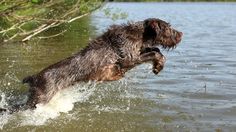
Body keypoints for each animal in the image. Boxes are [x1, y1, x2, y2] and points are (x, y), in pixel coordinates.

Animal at [0, 17, 183, 113]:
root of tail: (34, 77)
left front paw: (158, 64)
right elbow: (154, 52)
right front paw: (158, 64)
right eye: (168, 28)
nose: (181, 34)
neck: (140, 34)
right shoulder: (128, 59)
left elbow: (155, 49)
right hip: (39, 99)